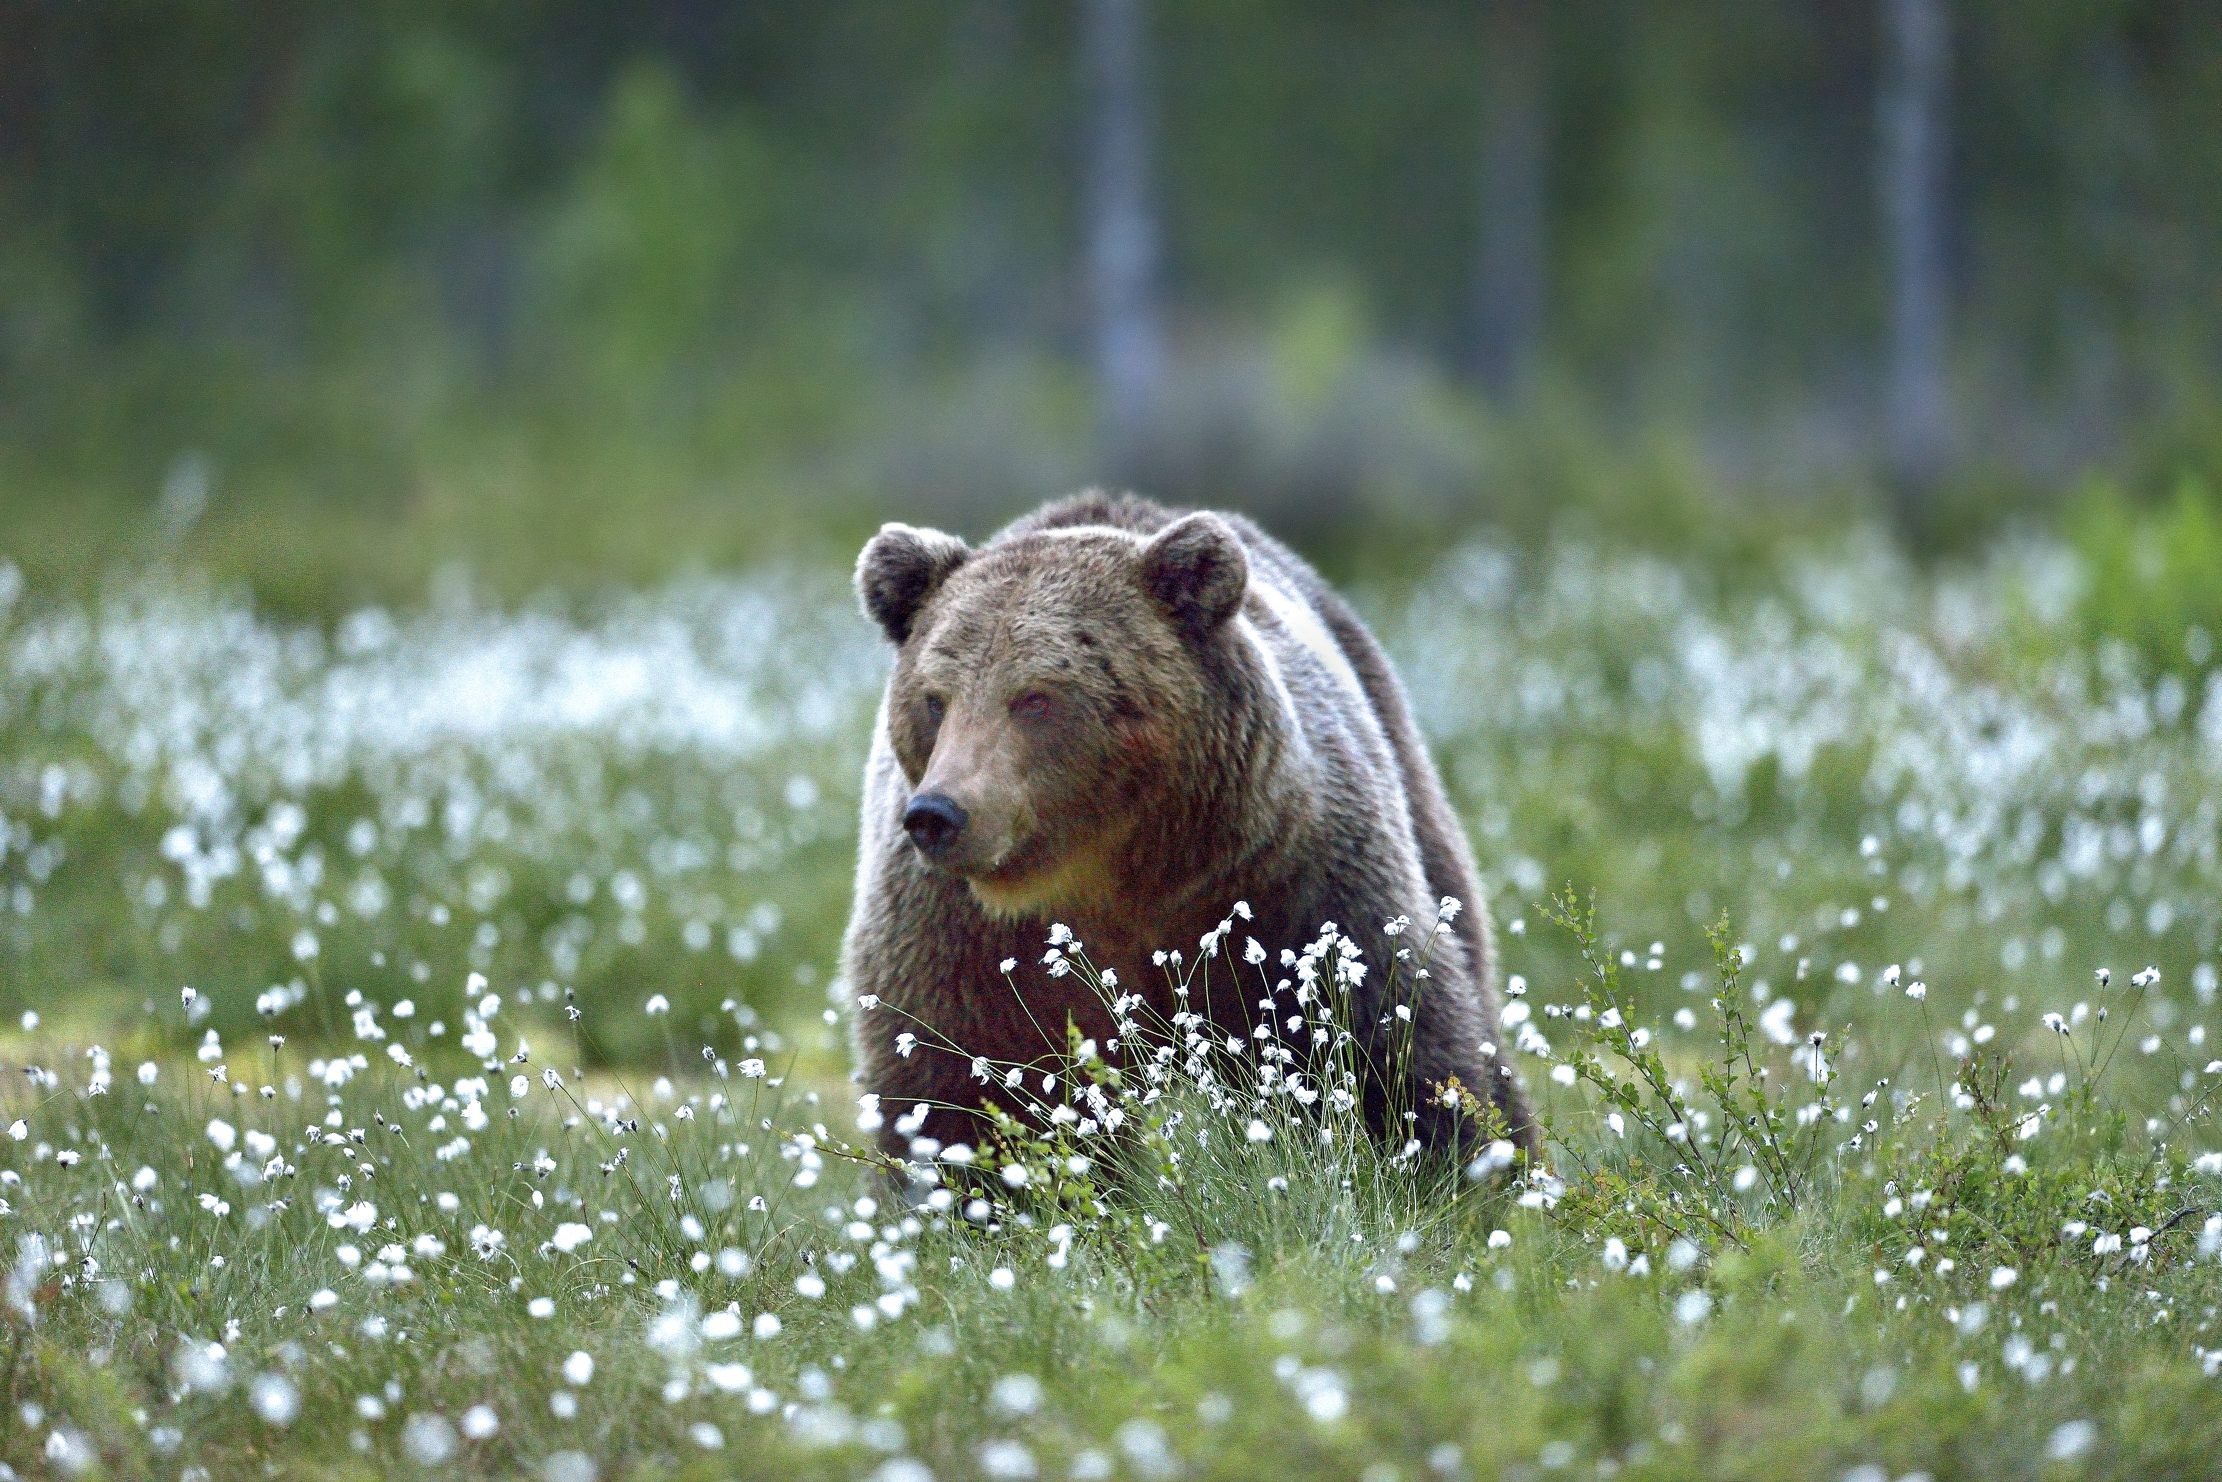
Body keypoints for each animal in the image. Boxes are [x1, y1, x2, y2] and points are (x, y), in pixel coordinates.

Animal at [842, 491, 1531, 1164]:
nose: (938, 814)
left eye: (1035, 699)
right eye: (935, 699)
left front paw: (1454, 1157)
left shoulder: (1294, 878)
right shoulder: (962, 939)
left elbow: (1391, 1033)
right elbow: (961, 1085)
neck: (1114, 875)